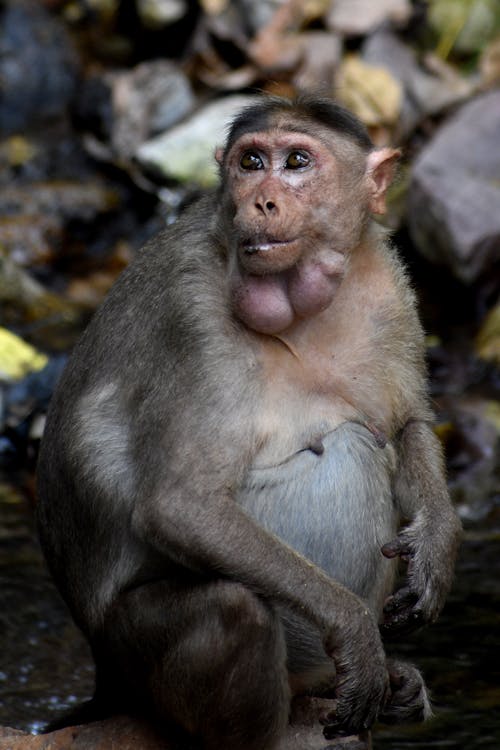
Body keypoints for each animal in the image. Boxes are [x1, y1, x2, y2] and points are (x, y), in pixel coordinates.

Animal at [37, 98, 462, 750]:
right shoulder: (194, 319)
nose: (260, 200)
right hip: (130, 652)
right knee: (235, 613)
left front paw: (437, 547)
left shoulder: (386, 283)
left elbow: (409, 420)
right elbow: (182, 506)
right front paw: (354, 629)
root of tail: (104, 675)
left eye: (297, 162)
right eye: (251, 162)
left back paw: (392, 687)